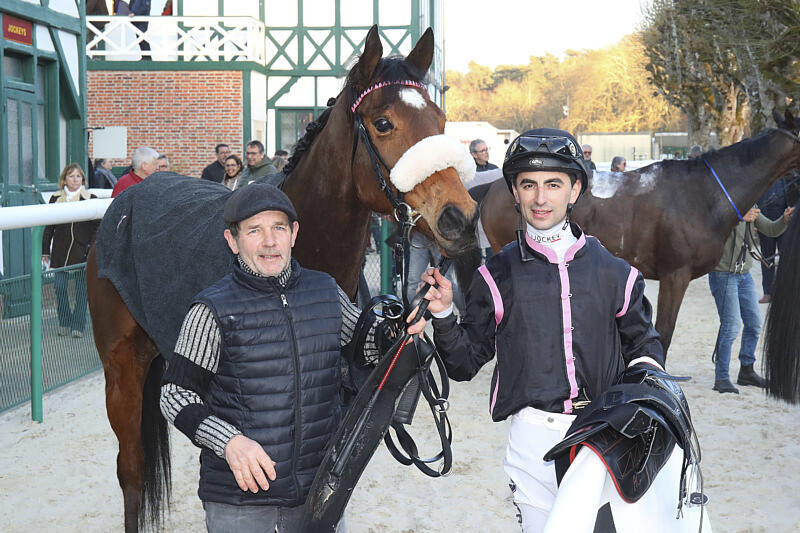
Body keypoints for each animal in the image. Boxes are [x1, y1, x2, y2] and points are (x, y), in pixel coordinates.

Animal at [85, 25, 479, 532]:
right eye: (383, 122)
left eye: (440, 119)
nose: (460, 219)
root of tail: (126, 201)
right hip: (121, 368)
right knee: (131, 470)